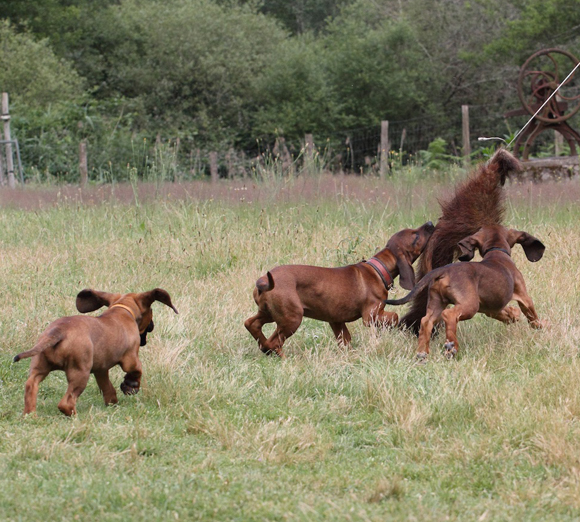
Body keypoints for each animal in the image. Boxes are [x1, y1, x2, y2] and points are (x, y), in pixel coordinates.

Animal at [13, 288, 177, 414]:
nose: (152, 326)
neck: (122, 310)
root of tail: (58, 331)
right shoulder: (130, 359)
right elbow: (138, 370)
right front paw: (131, 385)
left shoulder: (101, 369)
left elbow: (108, 388)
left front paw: (113, 402)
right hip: (80, 372)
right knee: (66, 402)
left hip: (40, 366)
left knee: (31, 386)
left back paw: (30, 414)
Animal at [244, 219, 436, 358]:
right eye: (415, 237)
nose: (430, 223)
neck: (378, 268)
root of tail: (263, 280)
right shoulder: (370, 315)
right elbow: (394, 316)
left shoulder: (336, 320)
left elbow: (345, 341)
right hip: (292, 317)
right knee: (274, 341)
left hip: (269, 312)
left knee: (251, 324)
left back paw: (264, 347)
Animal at [386, 225, 544, 360]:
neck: (496, 252)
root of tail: (443, 270)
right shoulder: (524, 297)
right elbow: (532, 315)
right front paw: (540, 328)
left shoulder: (491, 309)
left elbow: (507, 314)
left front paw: (513, 314)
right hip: (469, 306)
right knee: (449, 315)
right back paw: (451, 347)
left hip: (436, 302)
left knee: (426, 321)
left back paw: (422, 353)